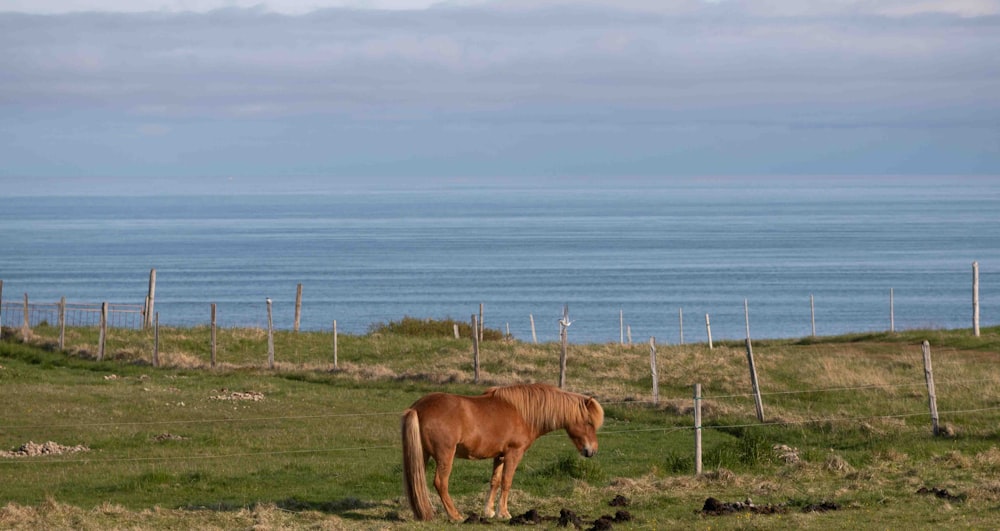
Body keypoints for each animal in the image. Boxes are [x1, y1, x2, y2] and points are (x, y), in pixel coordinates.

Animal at [398, 384, 600, 520]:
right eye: (589, 422)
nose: (591, 451)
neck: (522, 413)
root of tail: (417, 408)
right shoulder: (513, 454)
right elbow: (507, 481)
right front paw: (504, 513)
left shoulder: (500, 456)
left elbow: (495, 481)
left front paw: (489, 511)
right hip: (444, 455)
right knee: (440, 483)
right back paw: (455, 515)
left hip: (422, 454)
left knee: (416, 480)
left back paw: (423, 512)